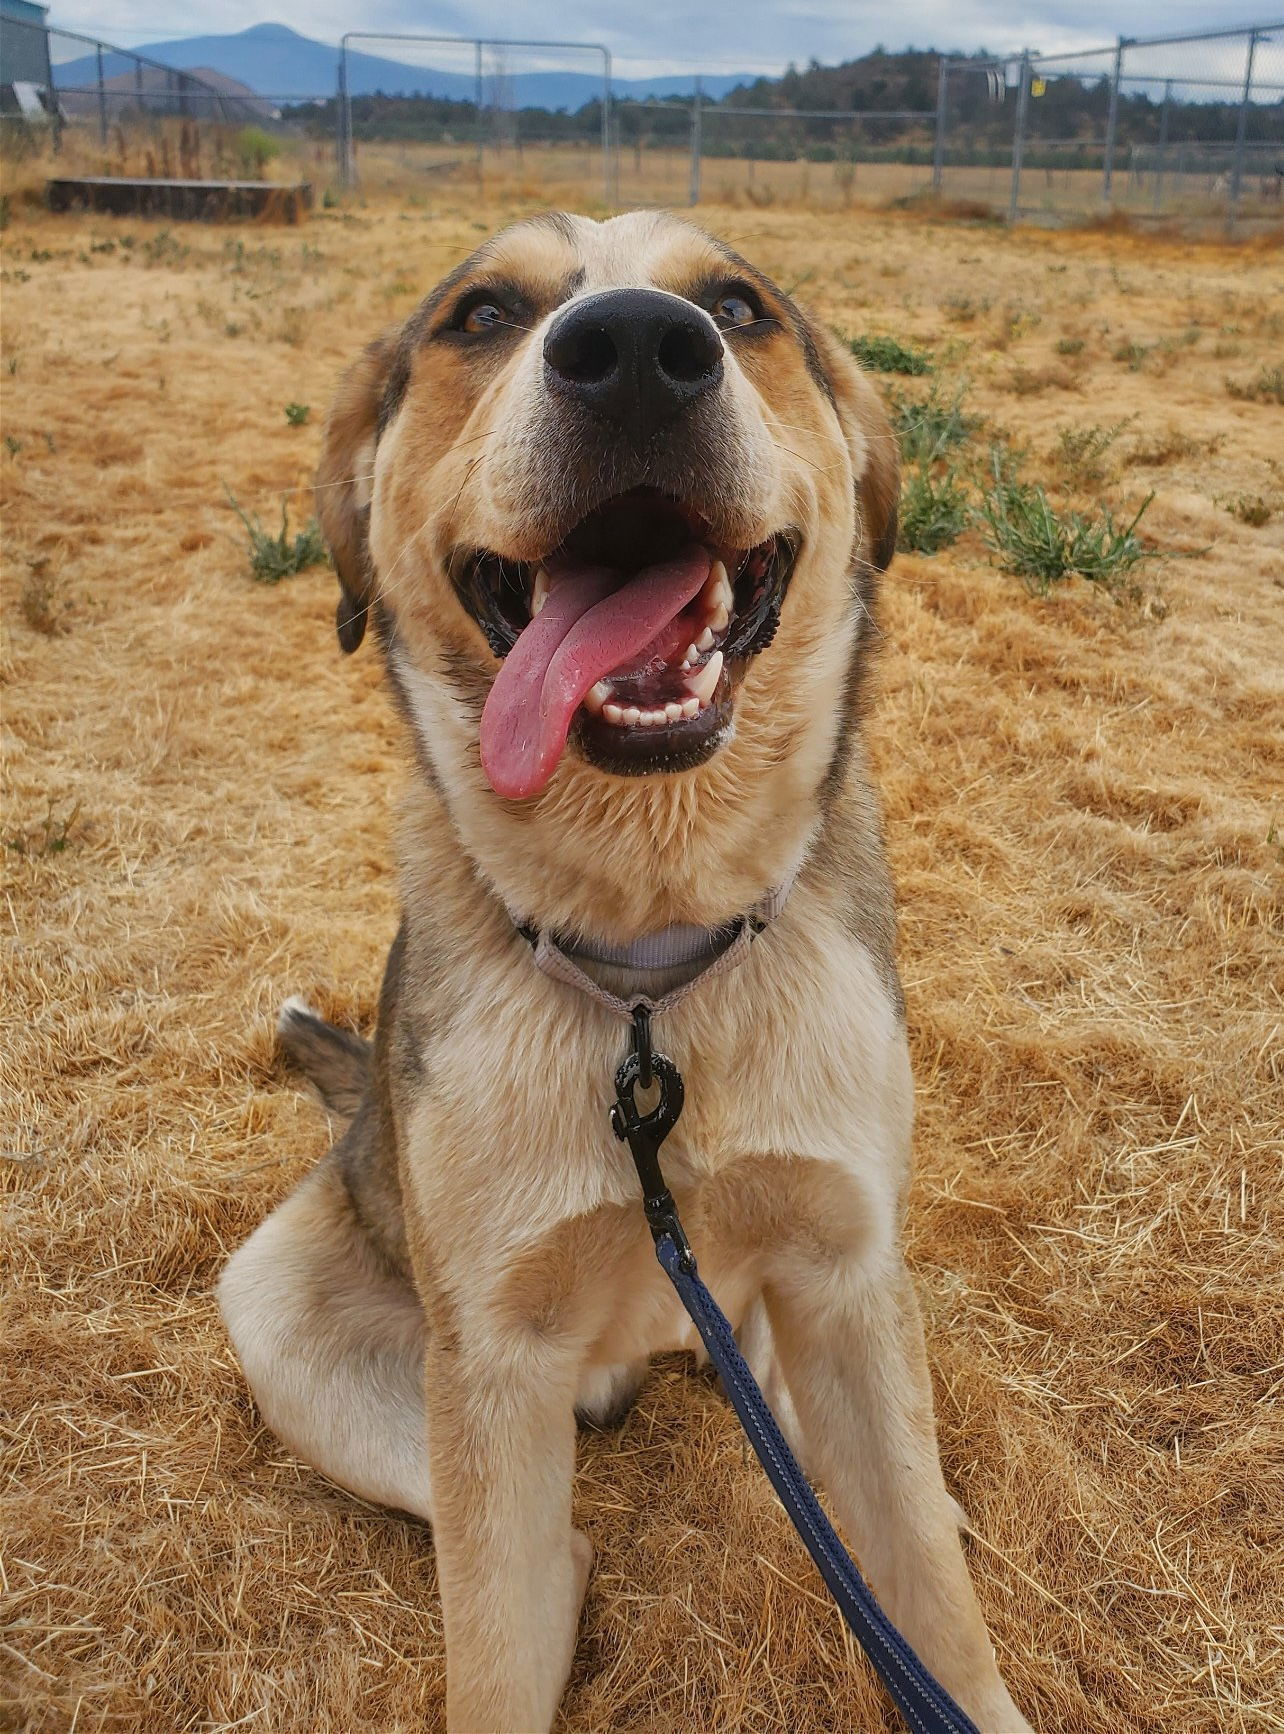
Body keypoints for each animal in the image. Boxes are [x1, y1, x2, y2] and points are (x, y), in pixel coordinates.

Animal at [217, 209, 1034, 1727]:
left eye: (739, 304)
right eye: (482, 314)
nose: (643, 354)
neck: (651, 965)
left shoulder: (847, 1263)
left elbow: (932, 1607)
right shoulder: (489, 1360)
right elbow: (494, 1644)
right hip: (294, 1317)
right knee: (560, 1547)